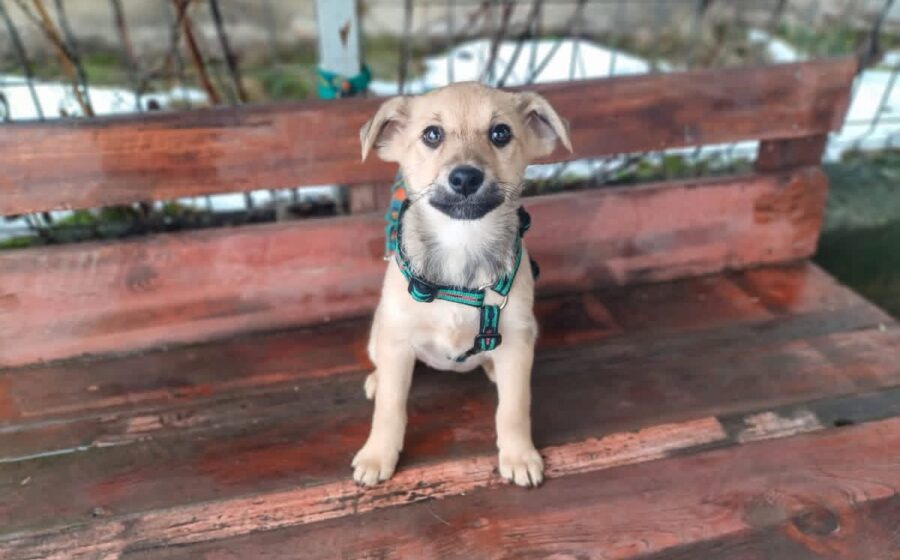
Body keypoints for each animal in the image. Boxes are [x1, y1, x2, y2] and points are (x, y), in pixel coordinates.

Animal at [354, 82, 571, 487]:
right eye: (432, 134)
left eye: (500, 133)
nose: (466, 178)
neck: (461, 243)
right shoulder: (397, 337)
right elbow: (391, 408)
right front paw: (377, 455)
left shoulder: (516, 338)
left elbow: (514, 407)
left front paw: (519, 455)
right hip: (380, 332)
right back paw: (376, 380)